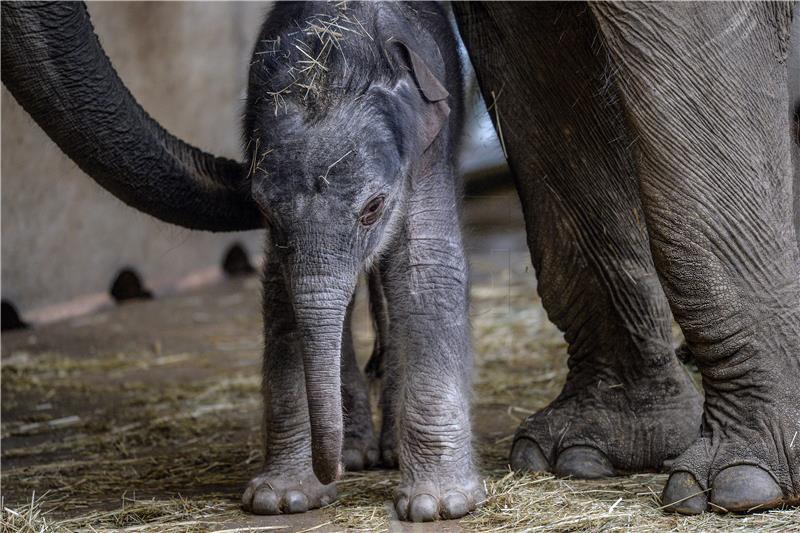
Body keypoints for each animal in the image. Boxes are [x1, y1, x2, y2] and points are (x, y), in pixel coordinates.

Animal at [239, 2, 482, 520]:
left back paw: (387, 453)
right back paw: (358, 453)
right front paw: (281, 499)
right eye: (263, 209)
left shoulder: (427, 149)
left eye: (373, 208)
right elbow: (281, 295)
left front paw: (437, 506)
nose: (333, 473)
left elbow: (426, 269)